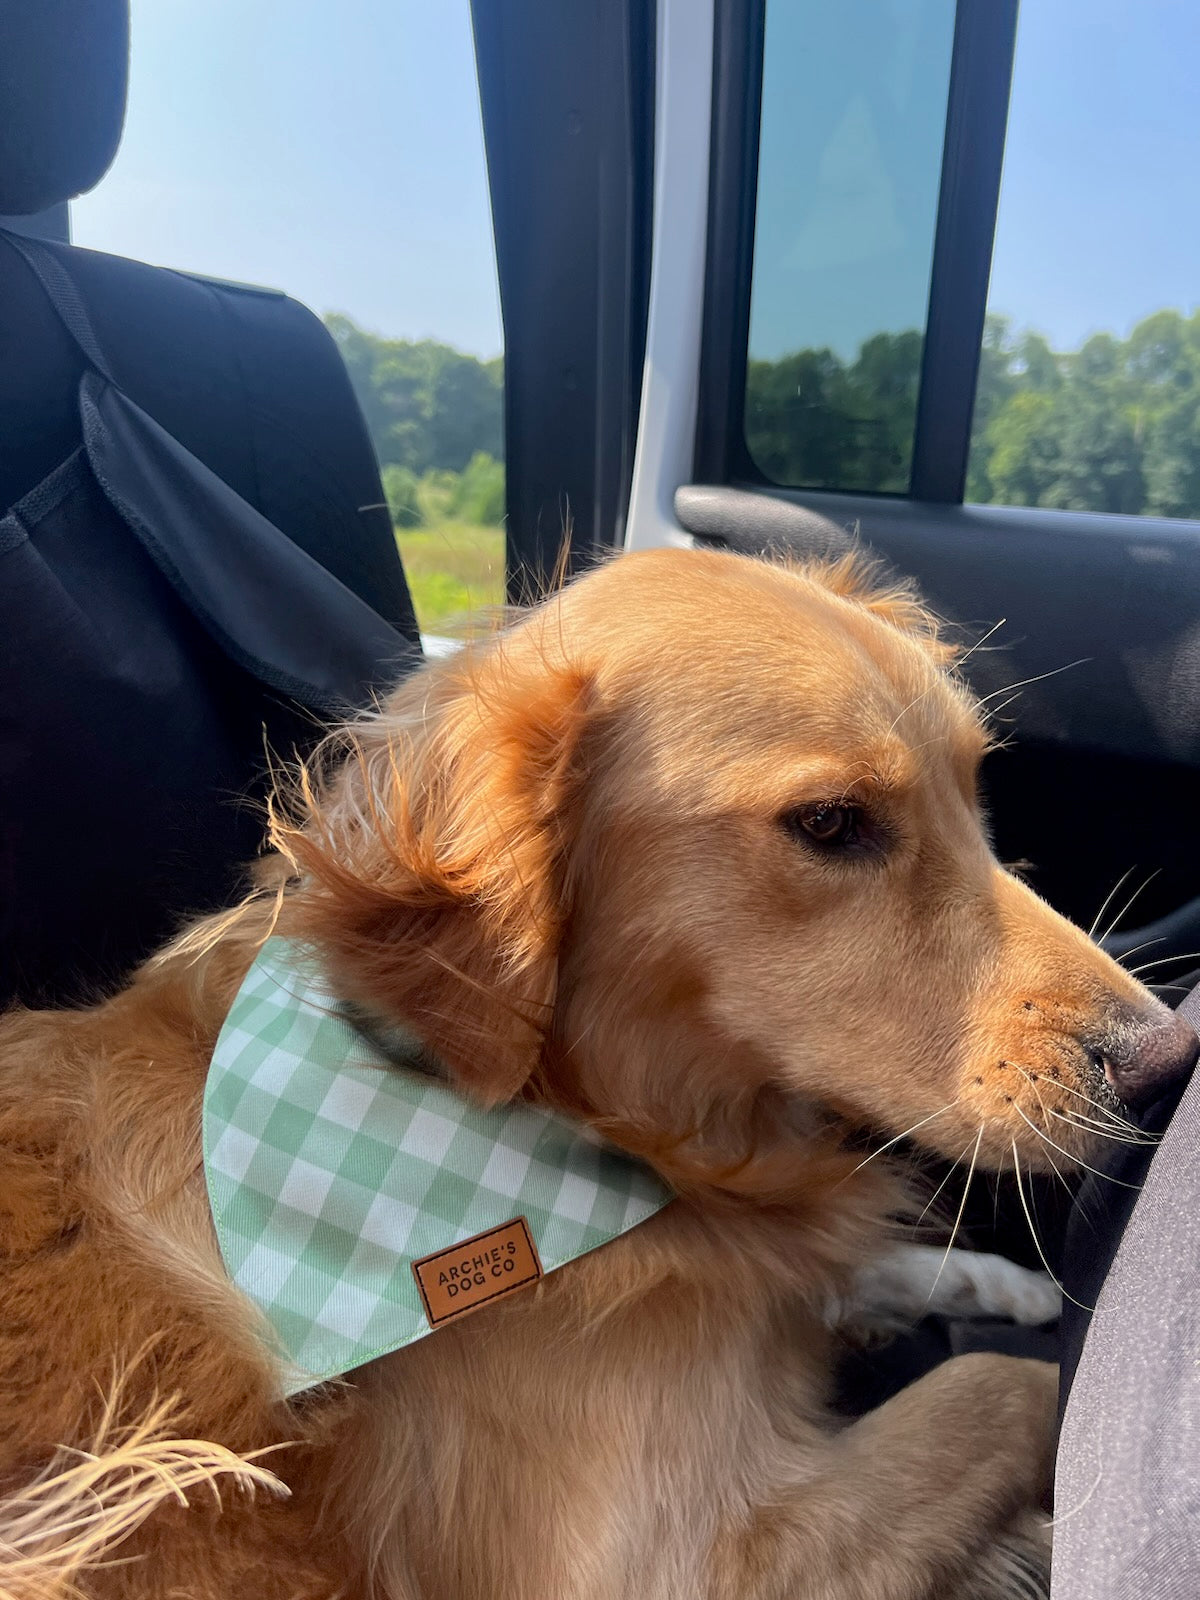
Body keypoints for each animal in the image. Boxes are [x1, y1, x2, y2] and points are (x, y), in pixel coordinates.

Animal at [0, 544, 1196, 1593]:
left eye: (973, 789)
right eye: (829, 823)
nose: (1165, 1058)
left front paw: (992, 1280)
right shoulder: (677, 1564)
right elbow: (999, 1384)